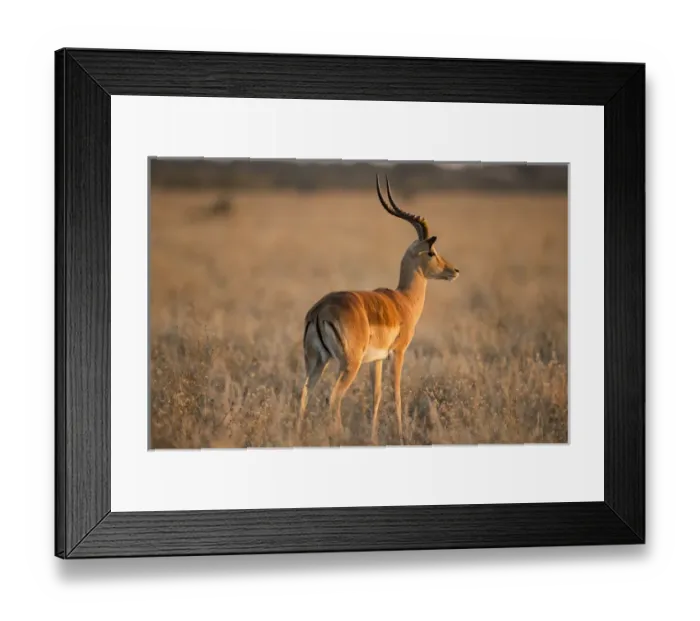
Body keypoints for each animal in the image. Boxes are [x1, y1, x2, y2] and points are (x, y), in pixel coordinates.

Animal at [297, 174, 460, 445]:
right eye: (432, 251)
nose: (454, 271)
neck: (403, 301)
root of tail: (320, 309)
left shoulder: (377, 359)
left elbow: (376, 395)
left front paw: (373, 436)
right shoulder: (398, 352)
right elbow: (396, 393)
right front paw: (401, 434)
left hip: (317, 360)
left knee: (304, 394)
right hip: (348, 363)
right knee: (333, 397)